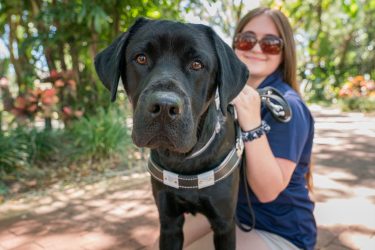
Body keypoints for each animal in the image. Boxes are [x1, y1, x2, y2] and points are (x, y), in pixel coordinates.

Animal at [95, 18, 250, 250]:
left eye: (197, 64)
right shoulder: (169, 221)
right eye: (141, 58)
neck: (184, 161)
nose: (164, 106)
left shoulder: (224, 224)